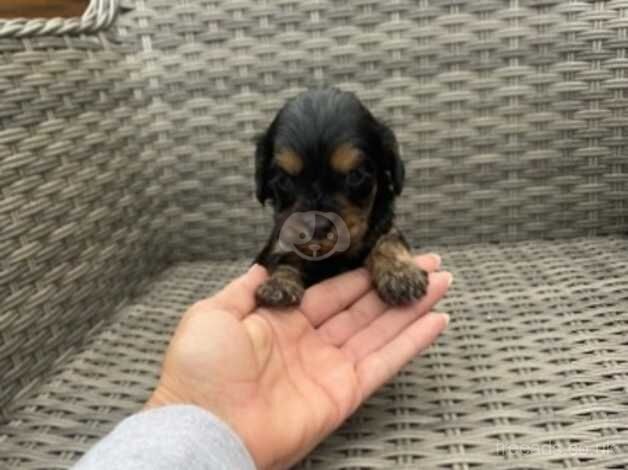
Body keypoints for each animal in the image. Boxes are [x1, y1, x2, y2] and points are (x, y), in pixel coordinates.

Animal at [254, 88, 426, 308]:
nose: (317, 227)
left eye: (355, 175)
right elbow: (283, 258)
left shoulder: (383, 228)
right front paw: (279, 285)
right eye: (284, 180)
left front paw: (401, 275)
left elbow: (388, 240)